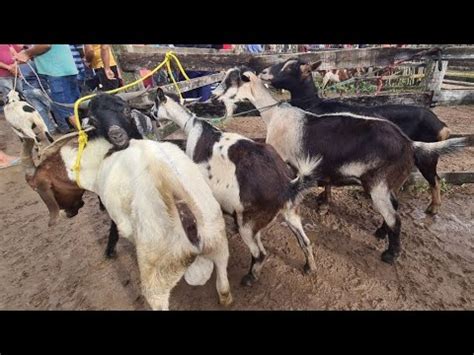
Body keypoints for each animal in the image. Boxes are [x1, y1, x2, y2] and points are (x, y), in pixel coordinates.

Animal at [150, 89, 320, 286]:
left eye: (155, 104)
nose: (150, 113)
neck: (193, 128)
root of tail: (286, 185)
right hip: (290, 212)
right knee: (305, 241)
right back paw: (310, 267)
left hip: (249, 223)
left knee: (259, 253)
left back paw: (249, 278)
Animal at [260, 58, 452, 216]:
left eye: (289, 67)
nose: (263, 72)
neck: (314, 105)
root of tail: (442, 125)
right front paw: (323, 198)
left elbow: (327, 179)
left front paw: (325, 204)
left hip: (428, 156)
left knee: (435, 179)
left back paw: (433, 208)